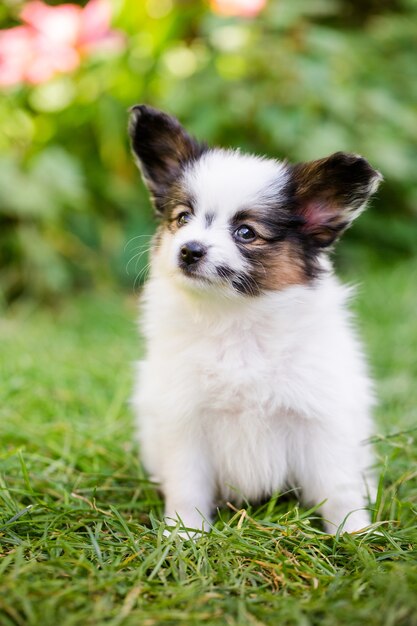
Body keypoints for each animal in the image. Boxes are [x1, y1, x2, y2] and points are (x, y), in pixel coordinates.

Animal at [128, 103, 382, 532]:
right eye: (182, 219)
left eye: (246, 232)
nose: (189, 250)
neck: (234, 318)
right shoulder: (184, 419)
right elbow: (187, 485)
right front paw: (184, 534)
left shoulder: (320, 418)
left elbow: (338, 486)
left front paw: (354, 532)